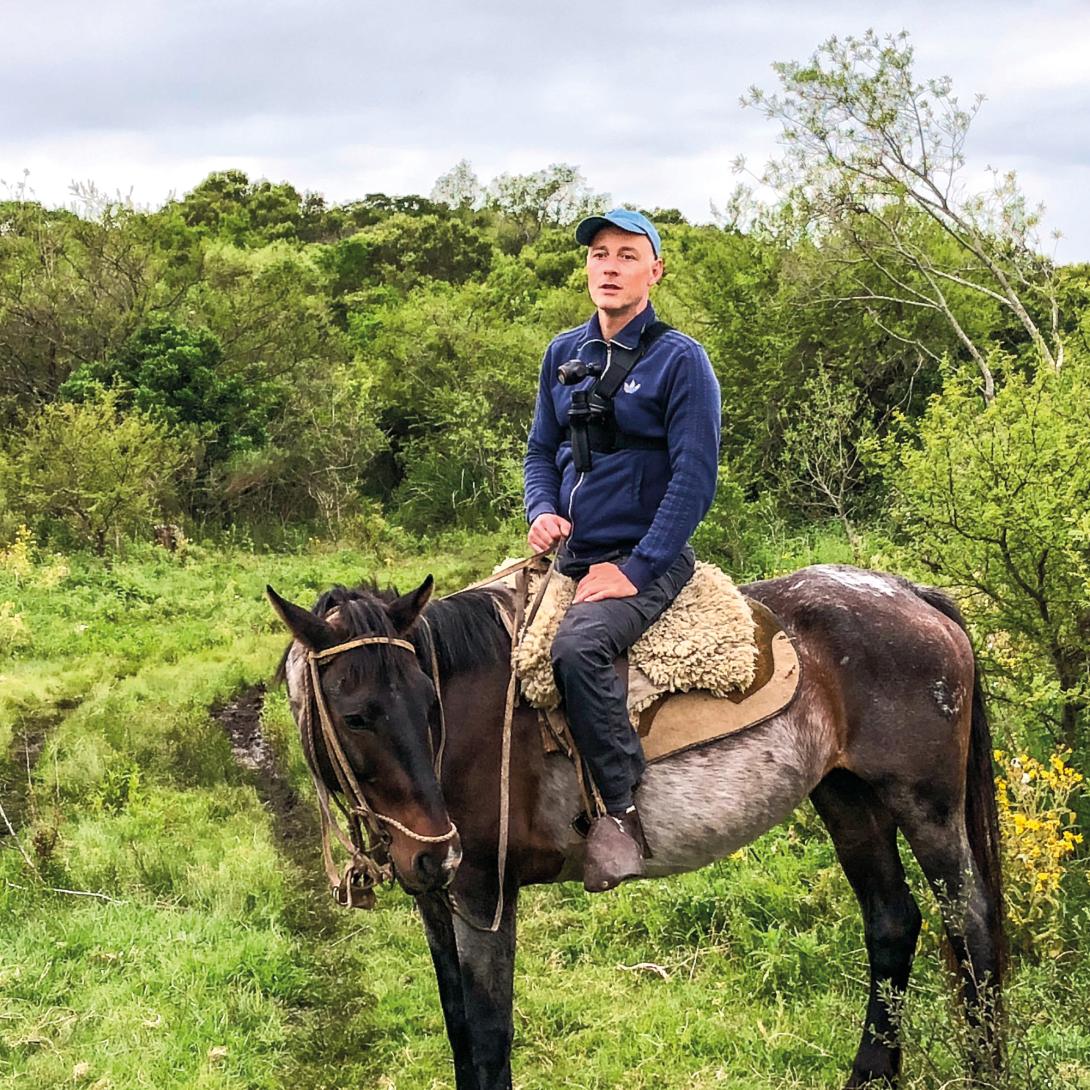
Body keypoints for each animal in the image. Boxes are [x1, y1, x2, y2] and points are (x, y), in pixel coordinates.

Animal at [267, 562, 1005, 1090]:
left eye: (427, 702)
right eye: (357, 715)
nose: (433, 852)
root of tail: (908, 593)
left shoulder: (483, 894)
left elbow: (489, 1036)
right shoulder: (439, 900)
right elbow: (459, 1031)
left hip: (925, 806)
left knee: (967, 925)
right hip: (848, 801)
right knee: (892, 922)